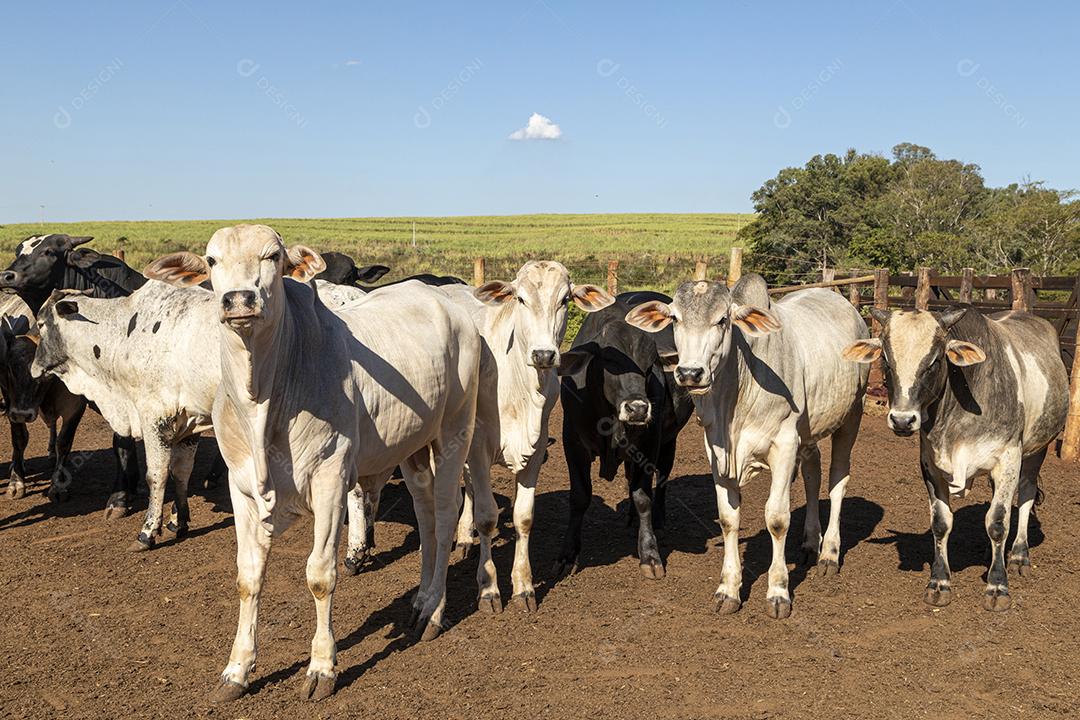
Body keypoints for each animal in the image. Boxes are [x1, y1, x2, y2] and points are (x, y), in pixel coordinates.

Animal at [31, 282, 219, 549]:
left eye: (40, 323)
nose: (34, 368)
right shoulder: (191, 422)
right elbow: (181, 471)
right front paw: (179, 522)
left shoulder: (155, 417)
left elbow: (157, 474)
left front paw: (147, 531)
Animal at [144, 224, 481, 702]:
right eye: (211, 261)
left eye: (272, 257)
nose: (238, 299)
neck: (265, 397)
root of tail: (446, 301)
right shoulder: (241, 488)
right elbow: (248, 576)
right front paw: (236, 670)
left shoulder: (330, 480)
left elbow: (321, 575)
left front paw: (322, 667)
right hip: (412, 447)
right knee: (427, 513)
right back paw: (419, 600)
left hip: (454, 429)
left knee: (449, 511)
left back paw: (434, 610)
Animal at [554, 291, 694, 579]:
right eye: (609, 362)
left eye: (650, 366)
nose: (638, 408)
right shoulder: (572, 441)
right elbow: (579, 497)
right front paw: (567, 554)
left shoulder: (650, 443)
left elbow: (643, 497)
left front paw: (649, 553)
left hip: (669, 441)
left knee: (661, 478)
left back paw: (658, 518)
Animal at [625, 274, 868, 618]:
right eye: (674, 318)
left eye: (722, 320)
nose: (689, 373)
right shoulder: (716, 449)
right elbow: (729, 519)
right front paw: (728, 590)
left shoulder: (784, 444)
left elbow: (777, 519)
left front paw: (778, 592)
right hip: (808, 431)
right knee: (813, 475)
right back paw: (811, 543)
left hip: (852, 415)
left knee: (837, 481)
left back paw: (829, 554)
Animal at [842, 306, 1068, 611]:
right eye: (887, 361)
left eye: (934, 361)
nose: (902, 420)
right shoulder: (930, 464)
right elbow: (941, 523)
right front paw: (939, 582)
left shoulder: (1009, 457)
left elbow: (999, 523)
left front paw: (997, 586)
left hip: (1037, 449)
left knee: (1025, 497)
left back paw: (1019, 555)